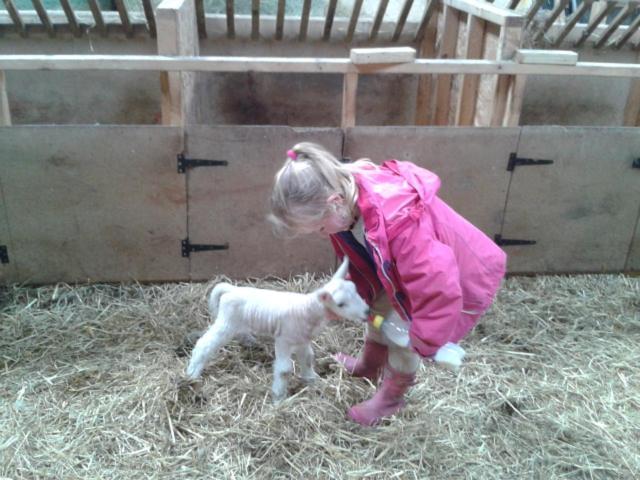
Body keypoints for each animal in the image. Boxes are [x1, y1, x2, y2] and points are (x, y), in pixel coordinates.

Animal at [185, 258, 370, 402]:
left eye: (355, 290)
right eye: (340, 304)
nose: (367, 312)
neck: (307, 310)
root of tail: (232, 289)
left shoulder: (302, 340)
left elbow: (308, 359)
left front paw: (312, 380)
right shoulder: (284, 340)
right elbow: (284, 370)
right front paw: (278, 399)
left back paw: (249, 341)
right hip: (227, 323)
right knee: (204, 344)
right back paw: (192, 373)